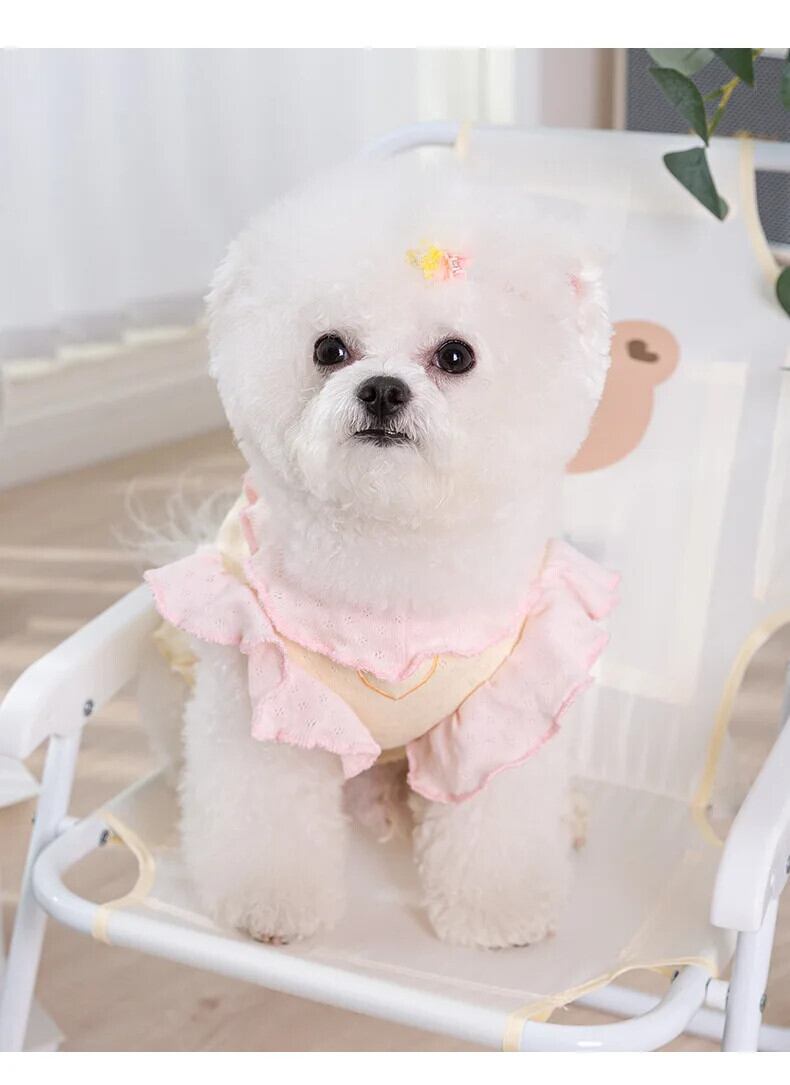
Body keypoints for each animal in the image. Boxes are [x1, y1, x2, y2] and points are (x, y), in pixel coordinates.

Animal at [142, 154, 615, 949]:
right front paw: (269, 905)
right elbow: (263, 815)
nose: (385, 389)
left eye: (456, 356)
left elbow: (497, 820)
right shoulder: (263, 701)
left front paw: (500, 913)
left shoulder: (499, 712)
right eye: (329, 349)